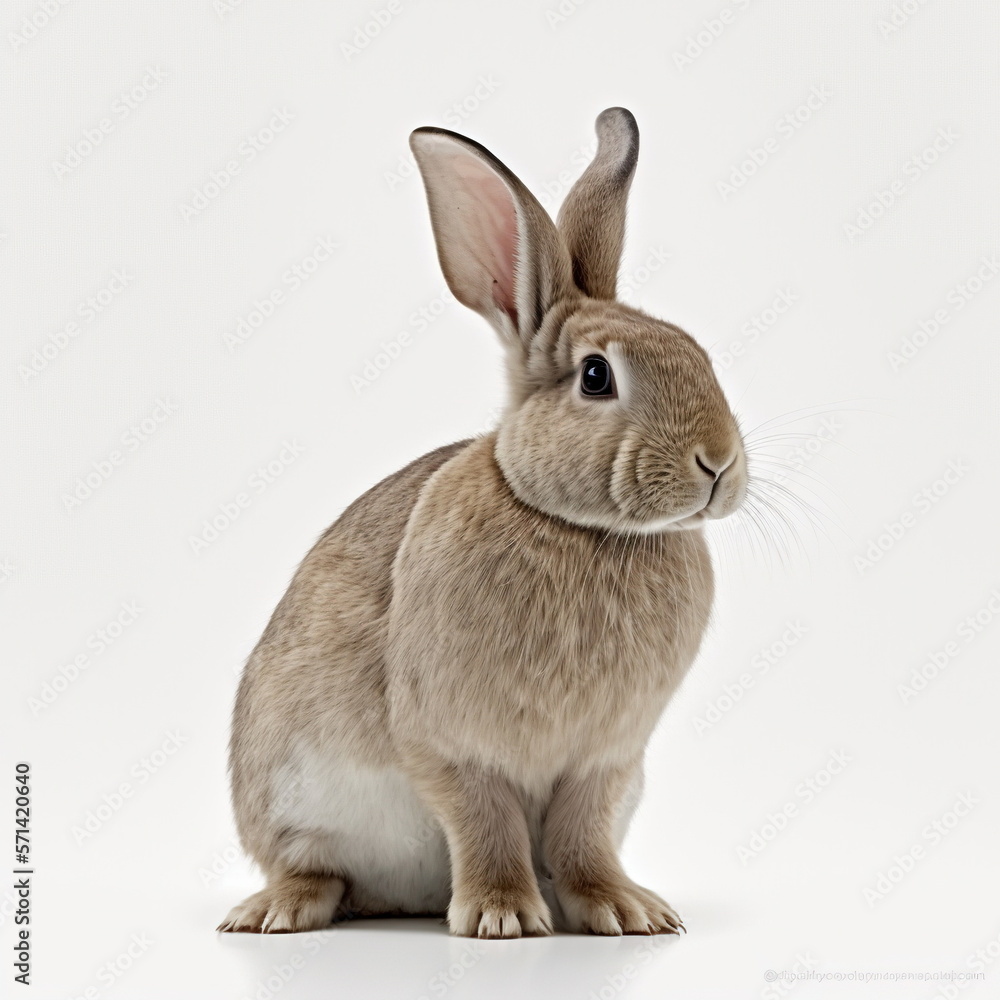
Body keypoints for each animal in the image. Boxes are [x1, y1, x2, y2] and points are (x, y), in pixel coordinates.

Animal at [218, 107, 747, 939]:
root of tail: (399, 900)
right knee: (315, 868)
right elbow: (483, 819)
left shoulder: (606, 760)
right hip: (287, 798)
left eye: (699, 353)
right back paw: (276, 911)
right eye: (596, 375)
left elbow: (584, 836)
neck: (579, 528)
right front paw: (501, 918)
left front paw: (624, 911)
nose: (719, 461)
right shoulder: (453, 745)